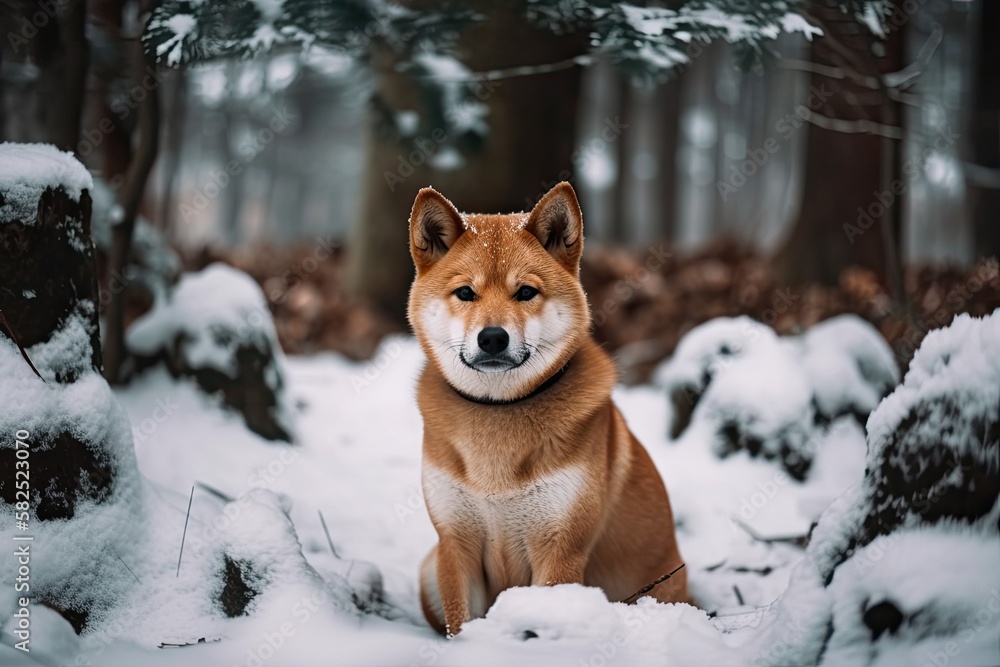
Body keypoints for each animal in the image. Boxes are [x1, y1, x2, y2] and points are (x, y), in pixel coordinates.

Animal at [408, 181, 688, 636]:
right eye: (466, 292)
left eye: (525, 292)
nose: (492, 337)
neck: (499, 413)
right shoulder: (455, 544)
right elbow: (460, 623)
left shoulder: (560, 549)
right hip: (429, 568)